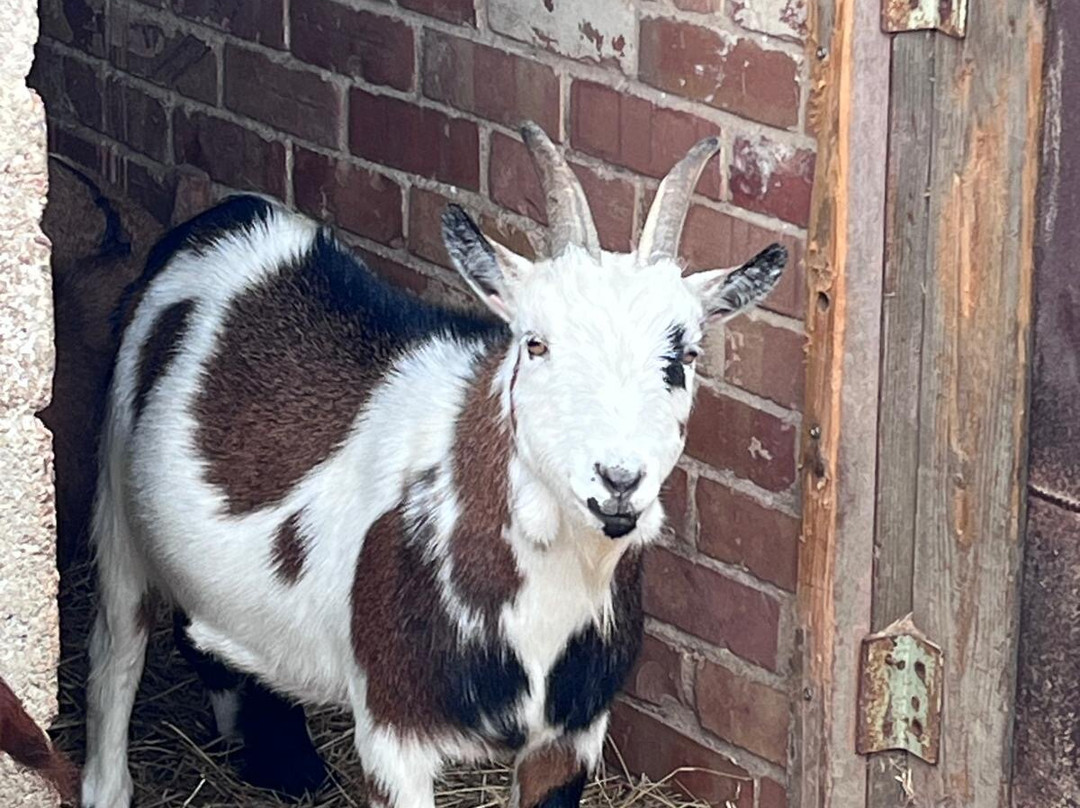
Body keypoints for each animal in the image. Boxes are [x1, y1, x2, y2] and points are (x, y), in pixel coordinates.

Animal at [81, 121, 787, 808]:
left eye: (684, 356)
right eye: (535, 343)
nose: (618, 480)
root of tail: (221, 218)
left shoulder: (571, 733)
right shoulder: (392, 727)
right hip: (118, 509)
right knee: (114, 652)